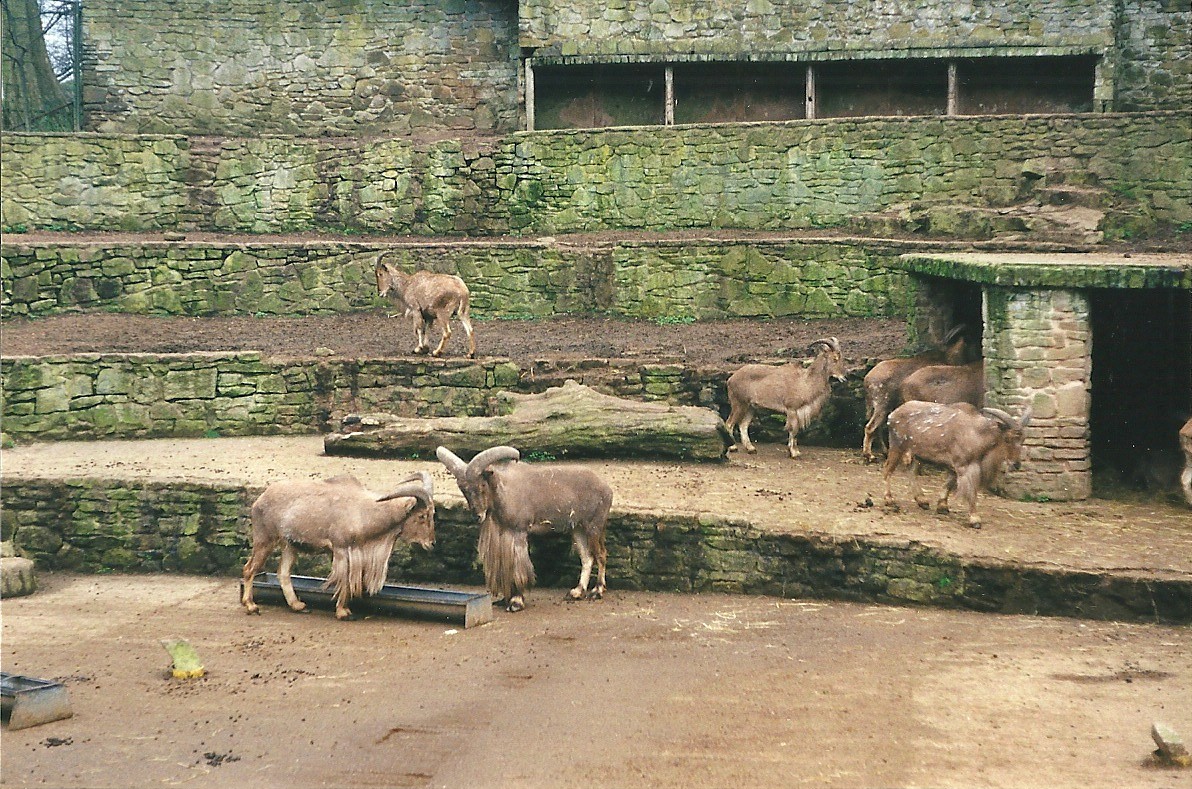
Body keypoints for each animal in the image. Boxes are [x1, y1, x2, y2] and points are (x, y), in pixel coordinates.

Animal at [240, 471, 435, 620]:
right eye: (422, 516)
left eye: (432, 514)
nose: (431, 544)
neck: (364, 512)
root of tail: (260, 499)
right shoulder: (341, 549)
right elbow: (345, 581)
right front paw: (342, 612)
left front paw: (345, 609)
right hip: (265, 539)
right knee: (249, 569)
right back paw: (251, 606)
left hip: (290, 545)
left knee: (283, 572)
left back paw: (298, 605)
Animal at [436, 445, 613, 613]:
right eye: (463, 488)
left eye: (482, 484)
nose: (477, 516)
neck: (504, 491)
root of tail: (607, 488)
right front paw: (504, 600)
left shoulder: (518, 532)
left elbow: (518, 568)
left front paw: (516, 602)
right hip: (578, 529)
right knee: (587, 557)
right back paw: (577, 592)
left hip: (594, 526)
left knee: (601, 555)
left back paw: (597, 591)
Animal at [861, 325, 971, 462]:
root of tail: (867, 379)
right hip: (882, 404)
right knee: (871, 427)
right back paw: (869, 455)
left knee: (878, 428)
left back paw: (884, 452)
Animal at [883, 400, 1031, 529]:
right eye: (1007, 439)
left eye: (1023, 439)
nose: (1016, 464)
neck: (977, 434)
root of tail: (893, 414)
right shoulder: (964, 466)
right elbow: (971, 491)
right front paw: (975, 519)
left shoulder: (954, 466)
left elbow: (948, 484)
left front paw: (942, 507)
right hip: (897, 446)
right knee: (888, 469)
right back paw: (890, 501)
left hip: (917, 454)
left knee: (911, 471)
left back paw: (922, 501)